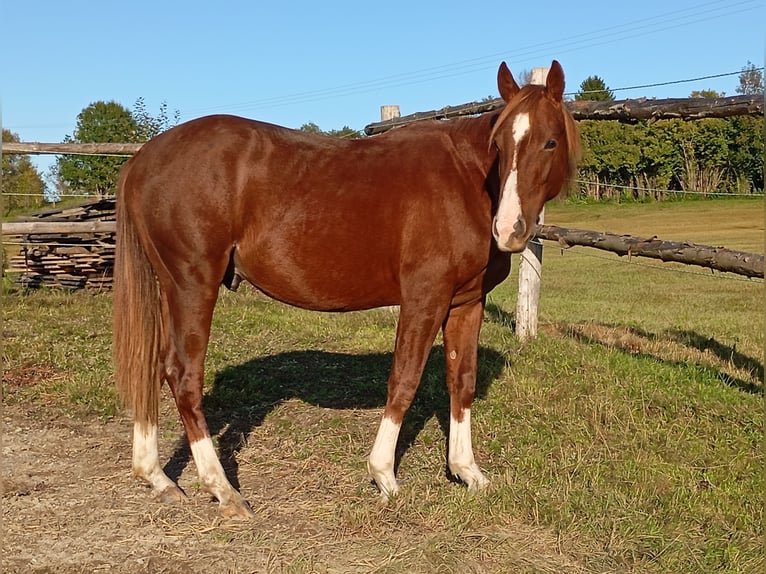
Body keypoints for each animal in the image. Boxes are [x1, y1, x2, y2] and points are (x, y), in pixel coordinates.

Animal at [113, 60, 580, 518]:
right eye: (499, 144)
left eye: (550, 142)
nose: (509, 229)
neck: (466, 181)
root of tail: (143, 159)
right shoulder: (424, 299)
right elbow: (404, 379)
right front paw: (384, 476)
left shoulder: (465, 303)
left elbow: (461, 381)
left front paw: (468, 473)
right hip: (193, 285)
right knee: (183, 376)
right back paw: (222, 489)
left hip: (169, 288)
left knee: (153, 366)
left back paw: (158, 478)